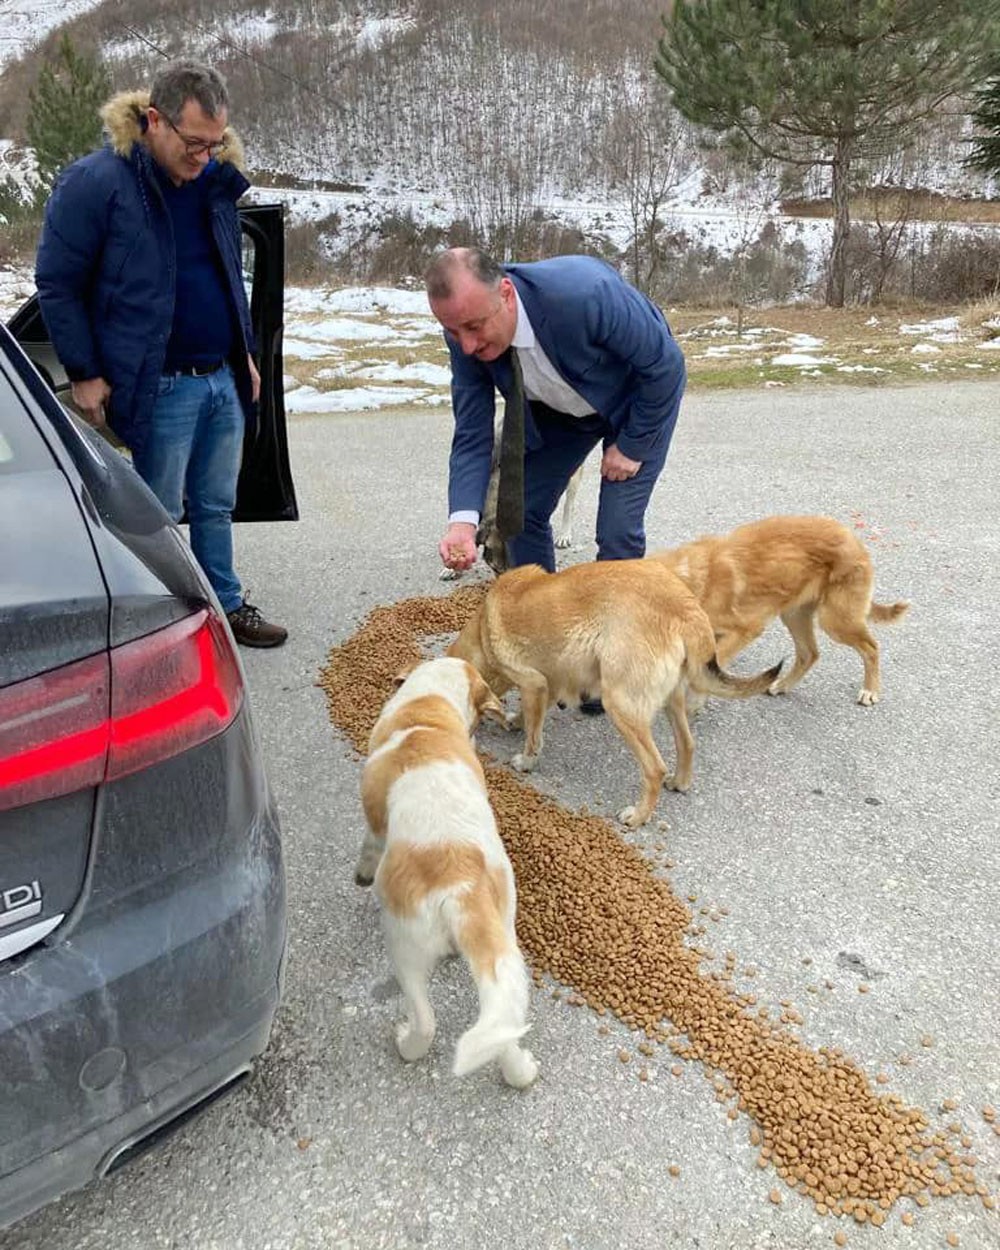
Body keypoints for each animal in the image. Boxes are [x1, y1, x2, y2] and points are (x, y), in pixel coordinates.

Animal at [352, 660, 540, 1090]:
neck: (428, 709)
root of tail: (462, 887)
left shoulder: (374, 827)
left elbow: (368, 845)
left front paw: (362, 874)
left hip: (404, 946)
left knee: (426, 1021)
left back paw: (407, 1043)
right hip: (504, 949)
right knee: (503, 1030)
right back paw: (520, 1072)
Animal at [445, 562, 780, 825]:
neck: (483, 631)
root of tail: (686, 609)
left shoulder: (533, 683)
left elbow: (534, 738)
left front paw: (526, 761)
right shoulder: (550, 683)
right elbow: (533, 718)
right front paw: (515, 721)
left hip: (620, 704)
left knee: (654, 768)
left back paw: (639, 816)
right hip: (670, 700)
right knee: (687, 743)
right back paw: (680, 781)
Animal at [650, 515, 910, 710]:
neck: (685, 580)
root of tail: (854, 538)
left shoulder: (745, 629)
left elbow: (705, 668)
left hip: (835, 621)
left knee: (871, 648)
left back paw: (870, 690)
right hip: (795, 614)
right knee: (809, 653)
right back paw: (783, 685)